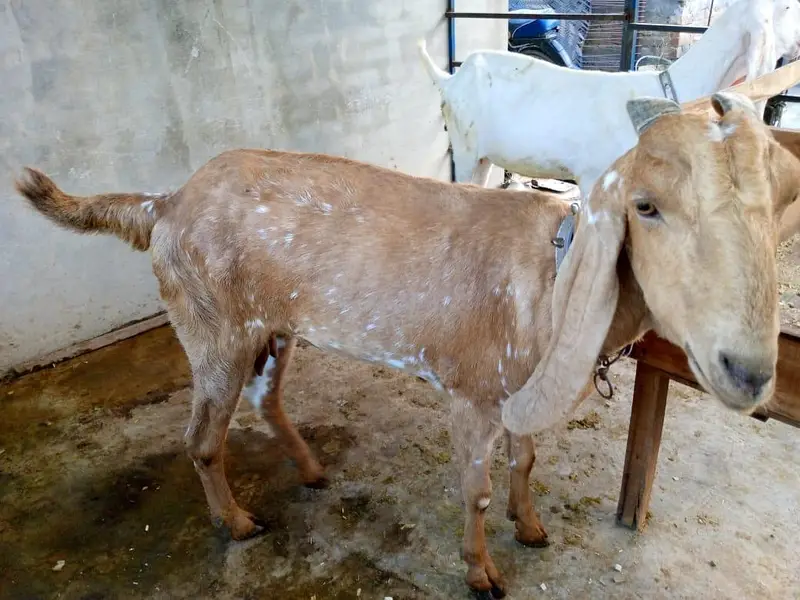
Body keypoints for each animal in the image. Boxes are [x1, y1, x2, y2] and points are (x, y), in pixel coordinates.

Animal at [15, 92, 800, 598]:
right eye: (646, 206)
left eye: (781, 205)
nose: (747, 372)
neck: (550, 277)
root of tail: (166, 204)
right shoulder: (473, 391)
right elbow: (475, 488)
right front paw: (481, 571)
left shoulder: (519, 389)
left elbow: (526, 461)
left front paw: (531, 526)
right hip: (213, 328)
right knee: (202, 437)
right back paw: (236, 522)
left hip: (273, 327)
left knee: (266, 404)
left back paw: (311, 471)